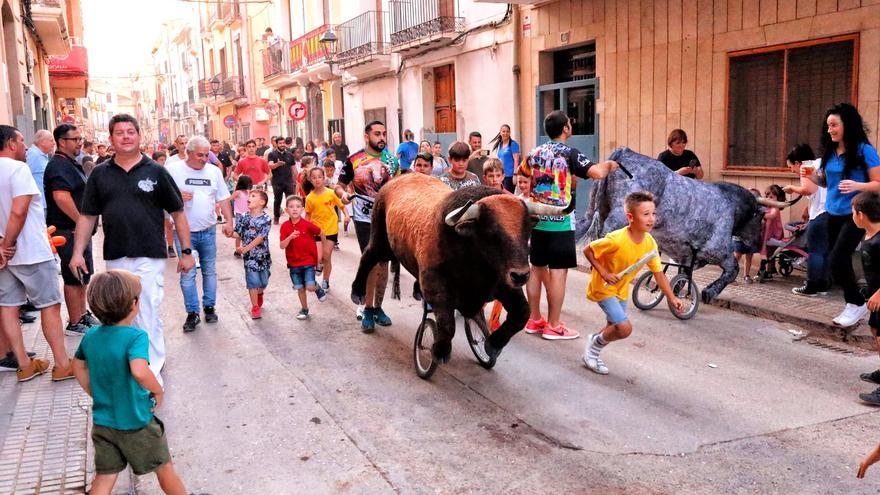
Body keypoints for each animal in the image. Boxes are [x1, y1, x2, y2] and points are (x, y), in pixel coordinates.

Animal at [350, 173, 572, 364]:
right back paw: (357, 291)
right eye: (492, 233)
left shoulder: (503, 283)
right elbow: (447, 325)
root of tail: (396, 180)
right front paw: (439, 350)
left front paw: (492, 344)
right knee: (368, 256)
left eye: (527, 230)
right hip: (381, 242)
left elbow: (522, 313)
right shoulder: (436, 285)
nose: (521, 275)